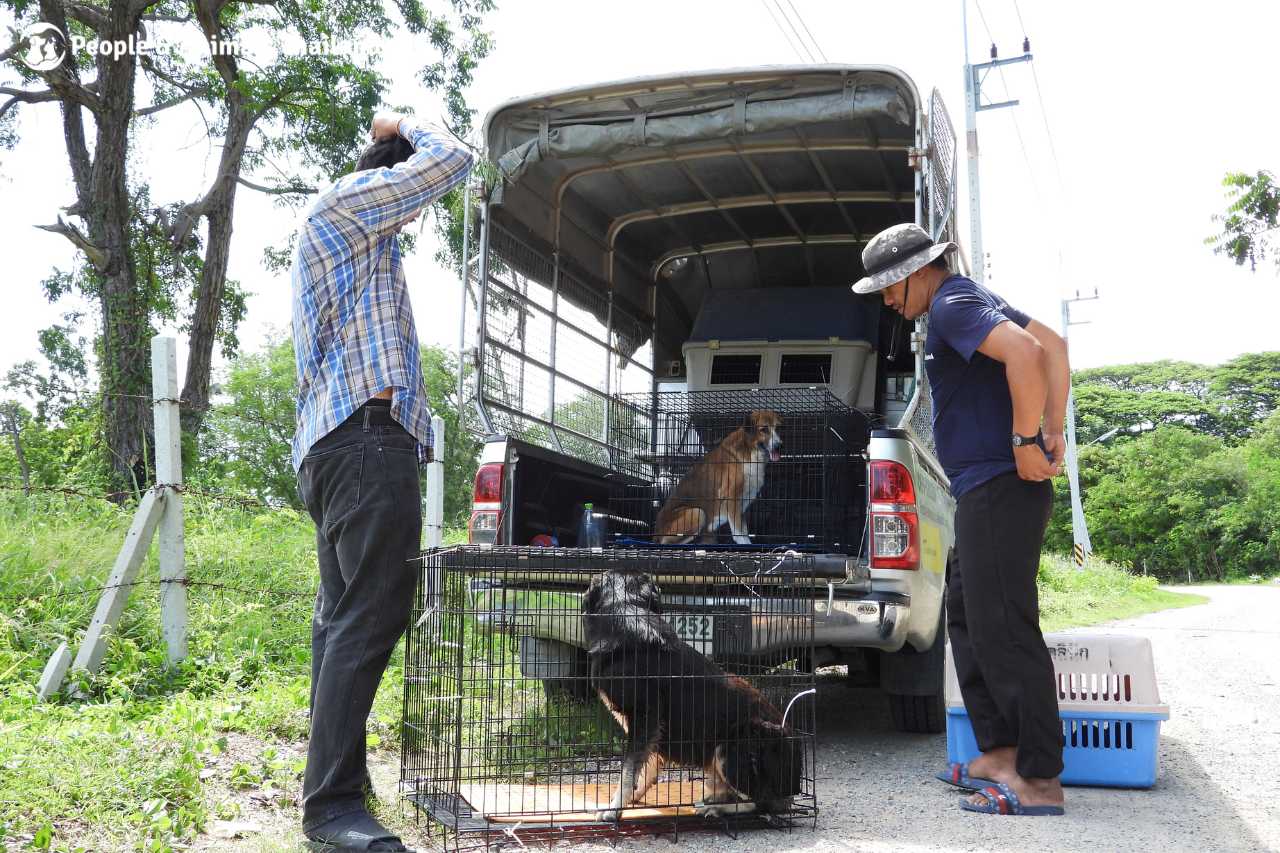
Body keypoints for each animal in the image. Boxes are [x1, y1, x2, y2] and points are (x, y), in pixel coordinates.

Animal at [581, 568, 798, 819]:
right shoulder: (651, 729)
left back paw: (717, 807)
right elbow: (645, 768)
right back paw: (716, 798)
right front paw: (631, 800)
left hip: (736, 741)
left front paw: (614, 808)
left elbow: (627, 771)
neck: (624, 607)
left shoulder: (645, 717)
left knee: (759, 801)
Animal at [660, 409, 778, 540]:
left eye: (778, 428)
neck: (750, 451)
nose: (779, 445)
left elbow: (744, 533)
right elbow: (739, 535)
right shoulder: (732, 498)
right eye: (764, 429)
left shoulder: (742, 506)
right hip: (697, 513)